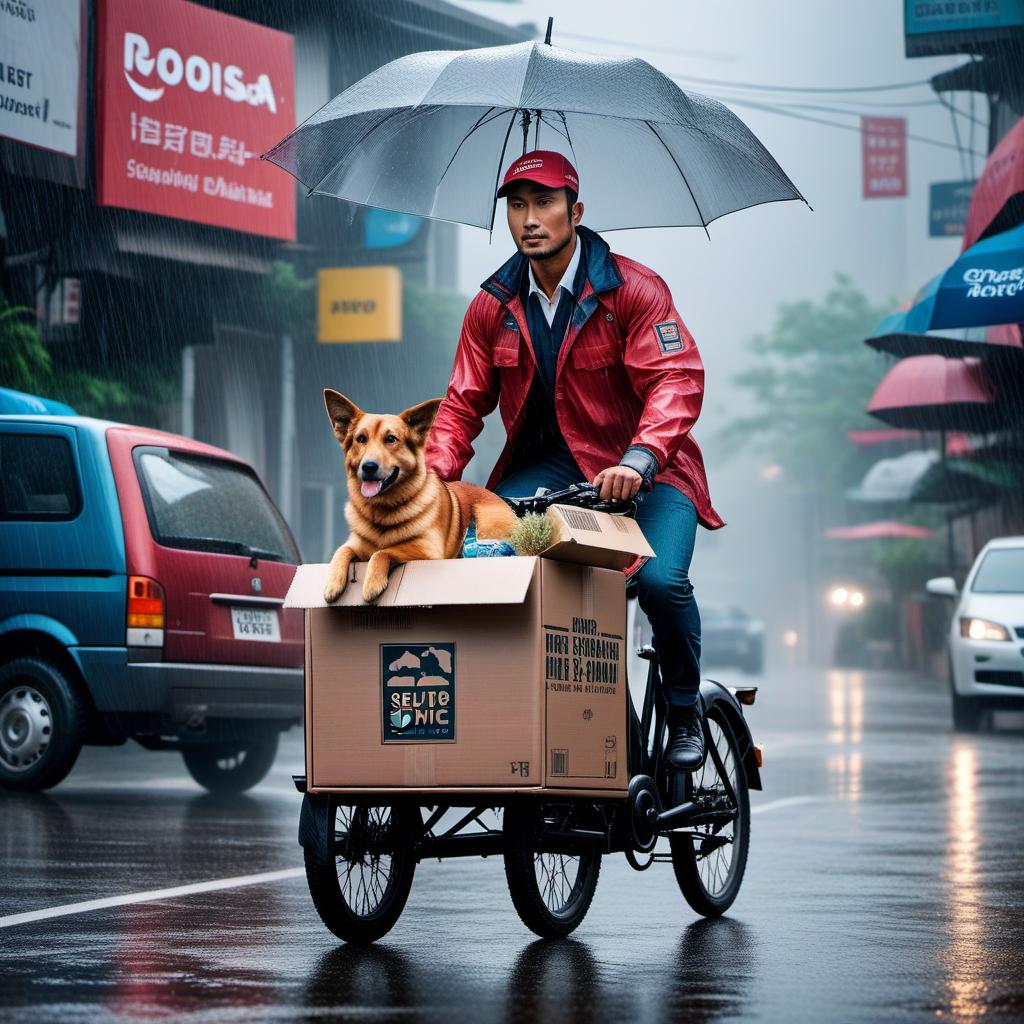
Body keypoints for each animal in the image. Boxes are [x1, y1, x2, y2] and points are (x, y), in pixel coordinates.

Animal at [323, 389, 524, 598]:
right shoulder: (355, 545)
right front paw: (333, 583)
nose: (369, 466)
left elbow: (382, 552)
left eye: (391, 439)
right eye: (361, 439)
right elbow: (340, 551)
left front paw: (372, 582)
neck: (382, 511)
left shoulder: (427, 551)